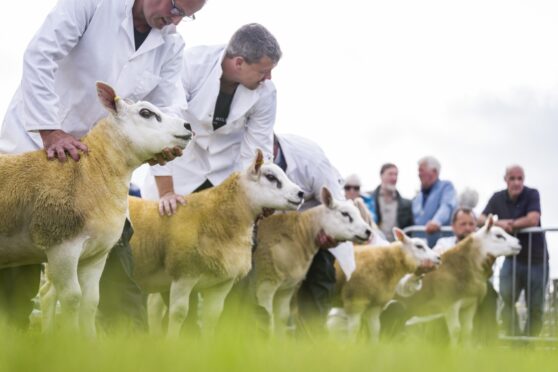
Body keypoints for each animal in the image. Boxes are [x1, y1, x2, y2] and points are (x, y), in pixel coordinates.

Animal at [0, 82, 194, 338]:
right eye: (145, 113)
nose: (188, 126)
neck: (90, 172)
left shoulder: (96, 255)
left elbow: (91, 302)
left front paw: (89, 342)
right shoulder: (61, 247)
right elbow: (73, 298)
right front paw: (72, 340)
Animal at [129, 150, 304, 338]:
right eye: (270, 176)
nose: (301, 194)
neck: (214, 216)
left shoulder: (222, 282)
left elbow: (212, 317)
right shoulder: (183, 274)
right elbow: (179, 314)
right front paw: (172, 342)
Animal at [254, 187, 372, 336]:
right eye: (345, 213)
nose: (368, 231)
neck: (299, 235)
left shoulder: (286, 288)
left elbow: (281, 318)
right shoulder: (265, 284)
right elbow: (266, 318)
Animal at [400, 215, 524, 346]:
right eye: (499, 235)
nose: (519, 243)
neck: (461, 265)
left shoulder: (470, 303)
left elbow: (467, 330)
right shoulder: (450, 304)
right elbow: (456, 330)